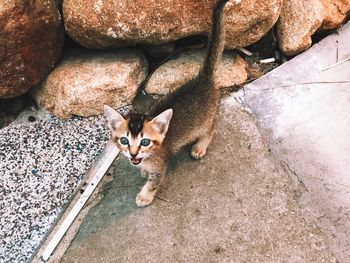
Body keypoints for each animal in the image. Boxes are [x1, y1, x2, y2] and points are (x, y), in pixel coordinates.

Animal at [105, 0, 231, 207]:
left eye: (145, 142)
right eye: (124, 140)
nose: (133, 154)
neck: (149, 154)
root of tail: (203, 79)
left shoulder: (160, 165)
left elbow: (154, 181)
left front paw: (144, 196)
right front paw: (143, 169)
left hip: (205, 121)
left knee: (211, 128)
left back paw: (200, 147)